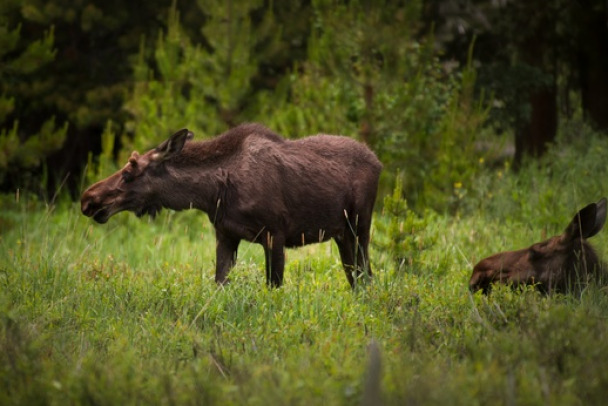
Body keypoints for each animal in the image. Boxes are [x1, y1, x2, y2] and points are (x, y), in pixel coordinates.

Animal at [81, 122, 380, 288]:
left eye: (129, 172)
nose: (88, 199)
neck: (212, 193)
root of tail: (378, 162)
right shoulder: (225, 234)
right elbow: (219, 283)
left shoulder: (275, 234)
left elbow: (274, 287)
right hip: (342, 233)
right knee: (355, 277)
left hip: (360, 226)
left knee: (366, 275)